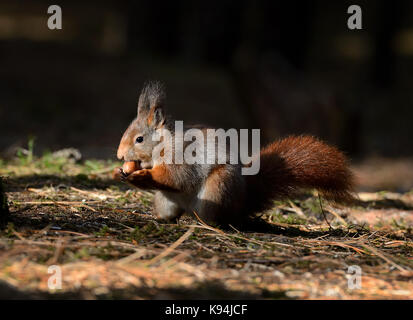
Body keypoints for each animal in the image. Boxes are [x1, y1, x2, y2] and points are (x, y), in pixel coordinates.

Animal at [113, 81, 354, 226]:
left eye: (139, 139)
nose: (119, 156)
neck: (163, 145)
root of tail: (242, 204)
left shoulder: (182, 157)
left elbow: (174, 177)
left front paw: (142, 175)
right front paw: (120, 173)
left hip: (217, 189)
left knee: (212, 217)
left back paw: (203, 223)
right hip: (166, 201)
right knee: (171, 211)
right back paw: (162, 218)